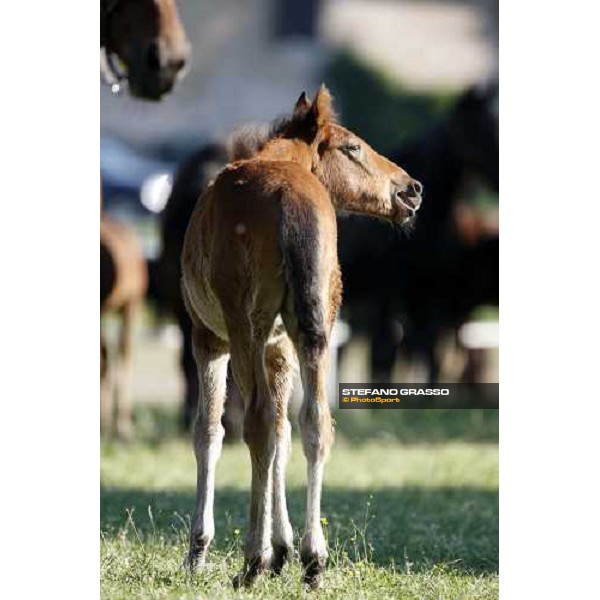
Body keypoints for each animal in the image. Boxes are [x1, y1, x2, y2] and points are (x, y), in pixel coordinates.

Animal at [179, 86, 422, 588]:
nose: (411, 190)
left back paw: (251, 560)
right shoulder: (281, 347)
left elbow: (210, 431)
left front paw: (200, 551)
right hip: (316, 327)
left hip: (243, 325)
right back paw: (313, 557)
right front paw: (284, 549)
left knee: (253, 423)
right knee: (315, 423)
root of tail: (291, 199)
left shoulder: (208, 337)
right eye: (353, 147)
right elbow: (286, 431)